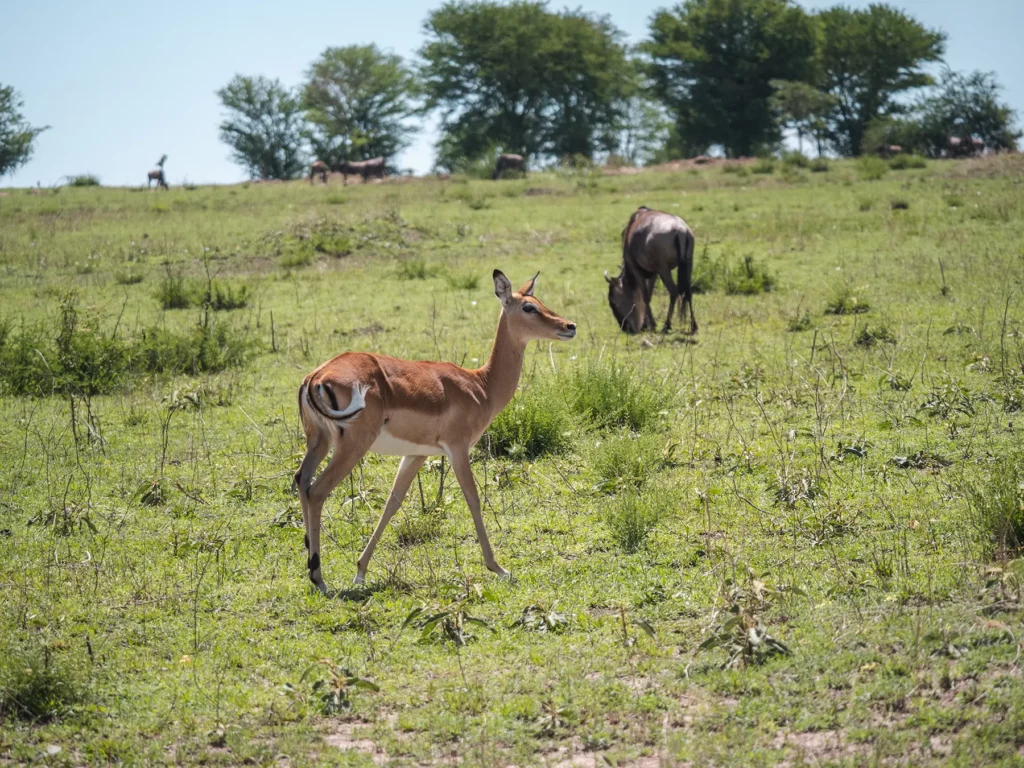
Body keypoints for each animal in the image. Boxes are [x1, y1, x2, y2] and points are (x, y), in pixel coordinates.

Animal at [295, 270, 577, 592]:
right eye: (528, 307)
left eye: (539, 301)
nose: (569, 326)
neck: (480, 386)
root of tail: (317, 376)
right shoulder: (458, 448)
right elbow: (473, 498)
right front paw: (499, 568)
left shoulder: (416, 454)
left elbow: (393, 503)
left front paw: (360, 571)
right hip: (352, 446)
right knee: (317, 491)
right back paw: (319, 578)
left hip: (319, 442)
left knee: (301, 480)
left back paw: (311, 562)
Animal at [606, 206, 697, 335]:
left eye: (612, 302)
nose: (625, 328)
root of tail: (680, 230)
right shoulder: (654, 273)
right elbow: (649, 294)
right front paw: (647, 324)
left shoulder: (636, 269)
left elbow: (645, 296)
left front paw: (650, 325)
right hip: (687, 264)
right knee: (688, 292)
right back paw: (694, 326)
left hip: (664, 269)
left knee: (674, 291)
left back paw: (667, 325)